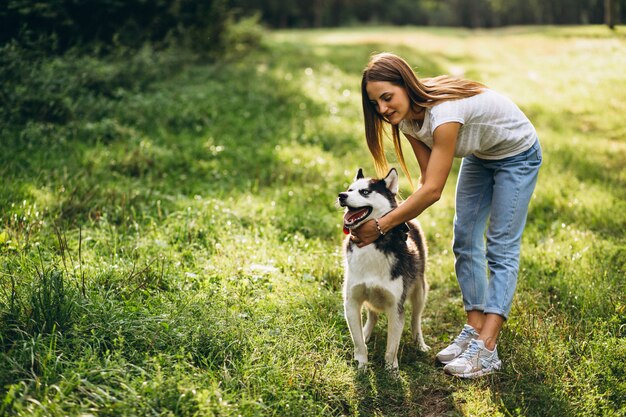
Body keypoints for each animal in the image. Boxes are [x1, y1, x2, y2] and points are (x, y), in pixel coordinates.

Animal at [336, 167, 428, 368]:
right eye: (349, 189)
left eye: (365, 192)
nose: (341, 195)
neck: (372, 244)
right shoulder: (351, 302)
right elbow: (358, 342)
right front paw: (361, 365)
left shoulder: (395, 306)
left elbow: (392, 347)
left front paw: (391, 370)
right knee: (373, 315)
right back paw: (366, 333)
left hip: (420, 291)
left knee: (416, 320)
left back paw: (420, 343)